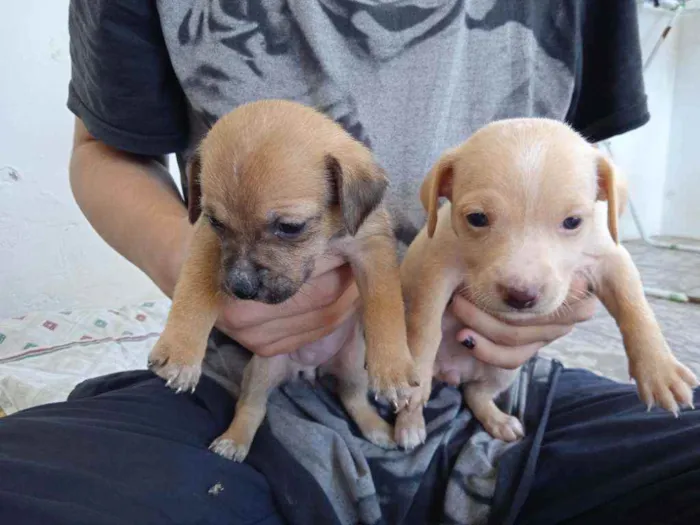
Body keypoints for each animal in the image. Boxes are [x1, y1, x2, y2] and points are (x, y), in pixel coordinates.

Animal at [148, 100, 418, 460]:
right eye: (217, 223)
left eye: (290, 227)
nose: (239, 287)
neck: (328, 238)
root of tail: (309, 370)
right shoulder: (207, 242)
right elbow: (194, 289)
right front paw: (179, 352)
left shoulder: (373, 250)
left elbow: (385, 306)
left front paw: (393, 370)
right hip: (262, 371)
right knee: (252, 407)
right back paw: (234, 440)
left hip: (352, 365)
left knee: (352, 397)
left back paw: (375, 428)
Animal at [396, 119, 696, 450]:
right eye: (476, 218)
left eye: (573, 222)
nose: (521, 296)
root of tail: (453, 374)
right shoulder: (436, 268)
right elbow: (424, 326)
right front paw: (414, 379)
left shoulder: (611, 258)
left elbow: (636, 307)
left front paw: (660, 370)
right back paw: (409, 425)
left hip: (503, 371)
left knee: (476, 394)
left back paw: (498, 421)